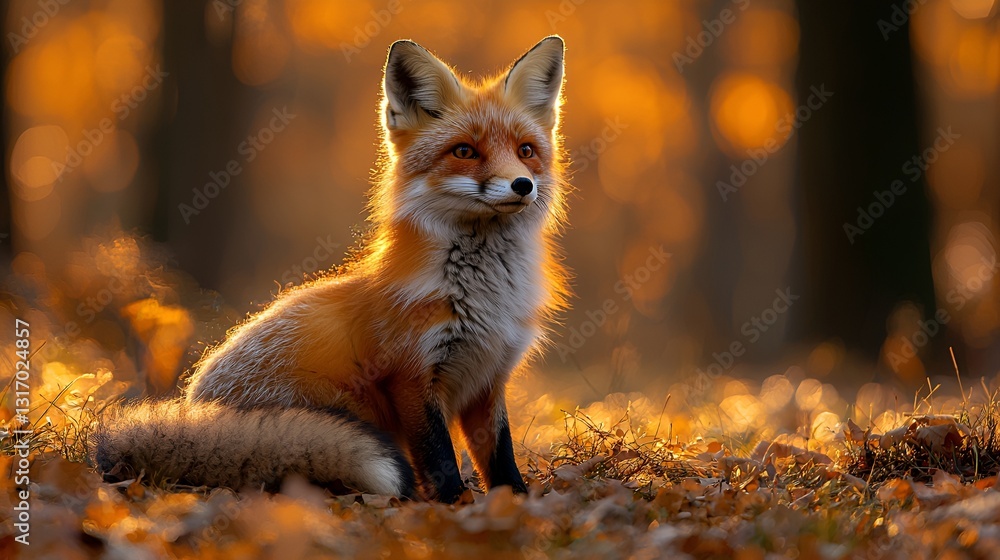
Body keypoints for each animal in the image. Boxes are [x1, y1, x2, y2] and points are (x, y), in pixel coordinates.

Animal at [92, 36, 570, 503]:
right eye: (465, 151)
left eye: (526, 151)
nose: (522, 185)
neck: (484, 296)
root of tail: (196, 408)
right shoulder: (411, 376)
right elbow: (439, 458)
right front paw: (453, 507)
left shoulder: (489, 377)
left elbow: (500, 457)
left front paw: (516, 504)